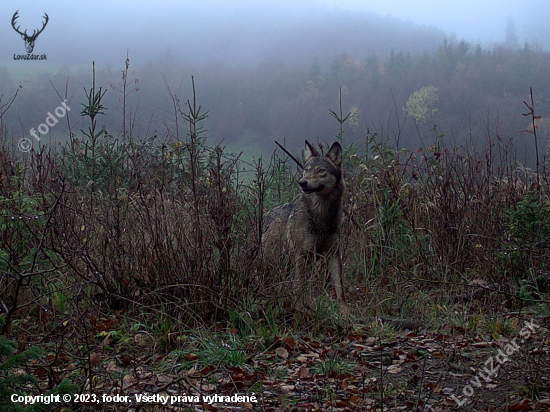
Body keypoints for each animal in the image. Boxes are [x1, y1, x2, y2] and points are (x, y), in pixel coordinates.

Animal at [264, 140, 350, 310]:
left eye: (321, 171)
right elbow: (299, 287)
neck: (321, 216)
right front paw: (300, 307)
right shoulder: (301, 255)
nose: (302, 182)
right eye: (306, 170)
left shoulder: (333, 253)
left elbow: (340, 288)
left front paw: (345, 311)